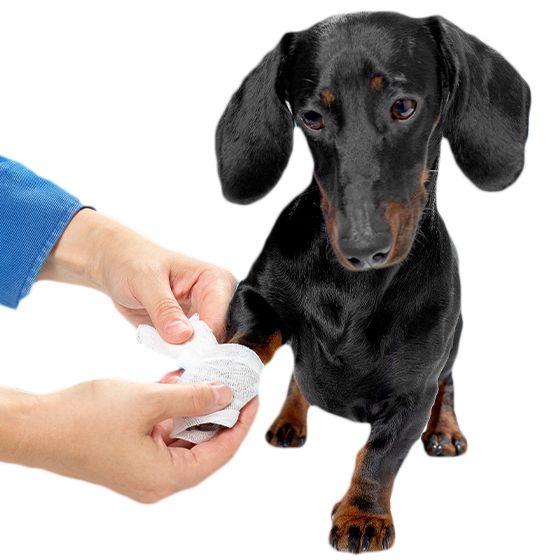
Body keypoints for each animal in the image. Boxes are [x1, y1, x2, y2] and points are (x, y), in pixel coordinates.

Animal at [214, 12, 528, 552]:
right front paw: (229, 373)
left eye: (404, 107)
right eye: (311, 117)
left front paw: (363, 513)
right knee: (298, 380)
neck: (352, 290)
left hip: (454, 344)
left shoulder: (413, 393)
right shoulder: (253, 295)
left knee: (449, 385)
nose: (362, 249)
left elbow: (380, 456)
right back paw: (289, 420)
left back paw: (446, 431)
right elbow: (254, 336)